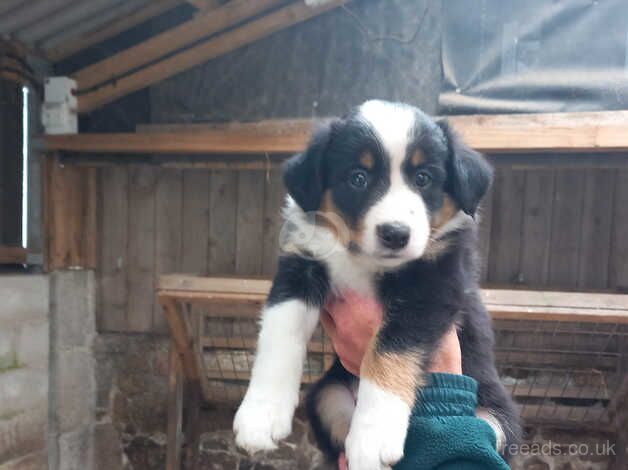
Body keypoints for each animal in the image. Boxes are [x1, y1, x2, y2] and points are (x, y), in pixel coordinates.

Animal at [233, 101, 524, 468]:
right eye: (358, 177)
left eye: (423, 178)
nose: (395, 234)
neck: (361, 260)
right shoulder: (300, 268)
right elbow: (279, 336)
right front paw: (261, 416)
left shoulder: (432, 286)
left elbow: (388, 350)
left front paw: (373, 435)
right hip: (329, 396)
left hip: (494, 419)